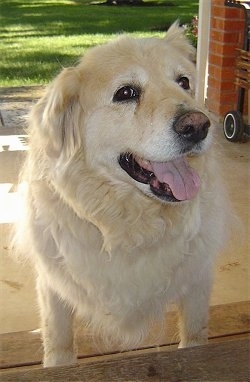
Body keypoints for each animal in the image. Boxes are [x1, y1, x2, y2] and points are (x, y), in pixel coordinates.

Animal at [13, 23, 229, 368]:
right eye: (126, 93)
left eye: (183, 82)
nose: (198, 126)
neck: (129, 224)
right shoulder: (52, 284)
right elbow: (59, 339)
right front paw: (58, 364)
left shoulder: (197, 279)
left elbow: (195, 333)